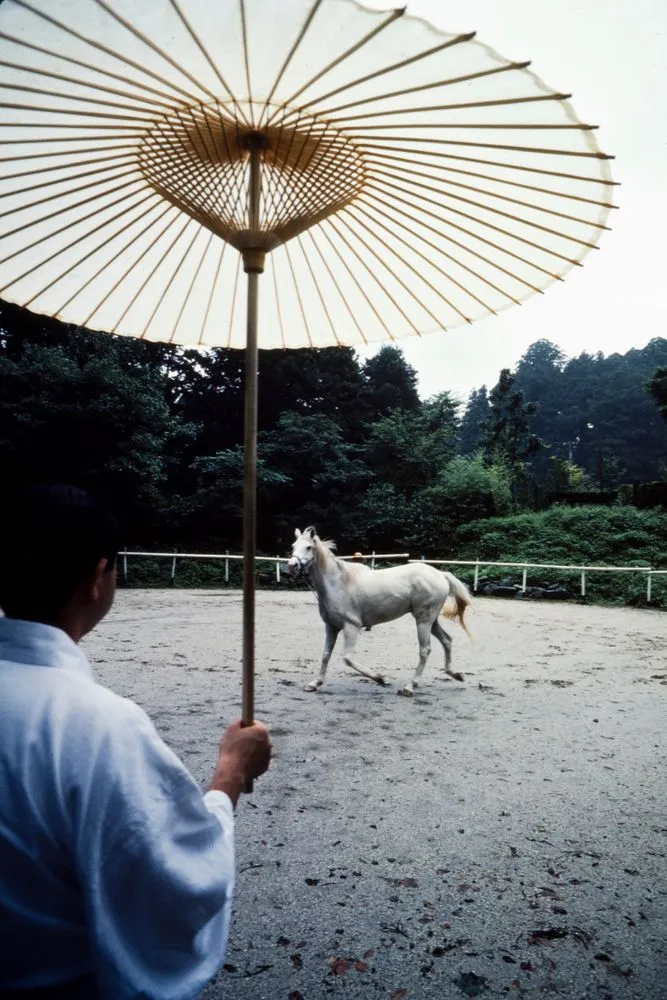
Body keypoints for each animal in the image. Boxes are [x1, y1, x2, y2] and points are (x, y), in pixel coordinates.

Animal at [287, 527, 471, 696]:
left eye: (308, 547)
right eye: (294, 545)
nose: (292, 566)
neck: (337, 583)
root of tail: (441, 574)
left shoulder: (351, 626)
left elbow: (347, 658)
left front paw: (379, 678)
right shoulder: (331, 627)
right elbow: (326, 654)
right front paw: (314, 683)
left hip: (423, 621)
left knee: (425, 650)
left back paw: (409, 687)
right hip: (431, 621)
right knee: (446, 640)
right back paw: (455, 674)